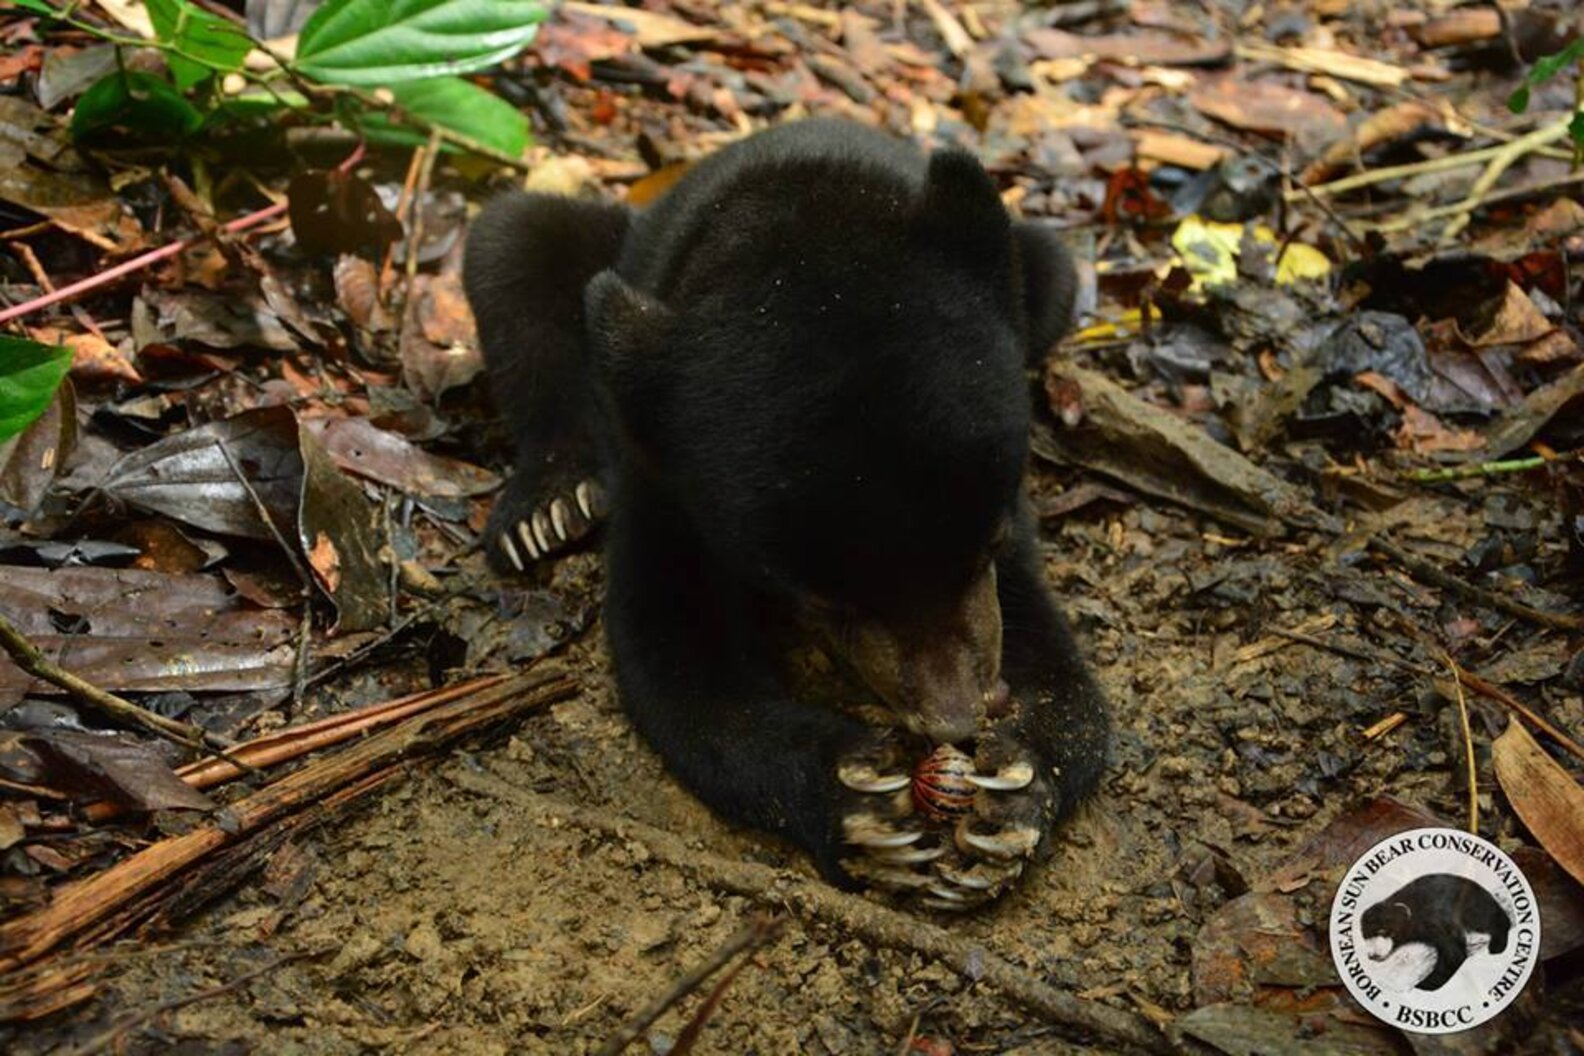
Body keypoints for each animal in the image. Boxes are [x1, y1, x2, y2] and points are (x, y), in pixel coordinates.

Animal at [463, 120, 1108, 908]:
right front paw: (861, 805)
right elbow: (675, 655)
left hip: (1034, 261)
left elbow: (1050, 650)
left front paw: (1012, 794)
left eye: (987, 543)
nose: (953, 718)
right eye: (824, 598)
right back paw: (550, 505)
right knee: (509, 241)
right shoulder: (664, 471)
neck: (796, 218)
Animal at [1360, 874, 1513, 991]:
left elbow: (1454, 953)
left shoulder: (1436, 918)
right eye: (1365, 937)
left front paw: (1423, 986)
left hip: (1472, 906)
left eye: (1383, 931)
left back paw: (1497, 945)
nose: (1372, 955)